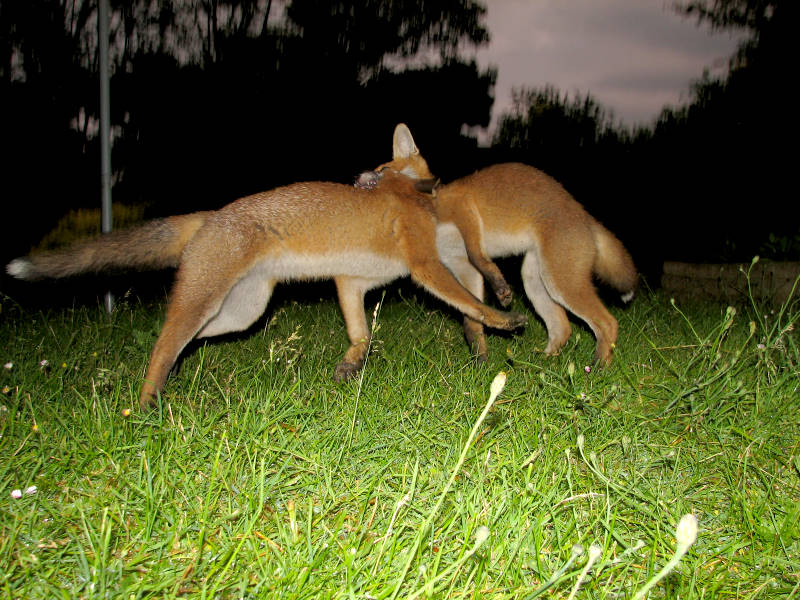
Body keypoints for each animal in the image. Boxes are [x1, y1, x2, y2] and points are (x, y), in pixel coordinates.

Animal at [7, 161, 527, 409]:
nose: (360, 176)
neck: (406, 199)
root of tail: (211, 216)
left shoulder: (353, 281)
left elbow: (361, 333)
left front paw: (351, 364)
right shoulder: (423, 265)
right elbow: (469, 303)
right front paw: (502, 317)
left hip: (241, 313)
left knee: (185, 343)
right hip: (205, 301)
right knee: (161, 345)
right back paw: (146, 406)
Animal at [364, 124, 637, 365]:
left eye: (384, 168)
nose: (360, 179)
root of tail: (585, 216)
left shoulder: (464, 210)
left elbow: (479, 256)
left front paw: (501, 290)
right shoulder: (462, 266)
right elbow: (472, 319)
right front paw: (480, 361)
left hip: (561, 283)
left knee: (607, 322)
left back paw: (598, 369)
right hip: (535, 281)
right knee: (563, 327)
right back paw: (543, 365)